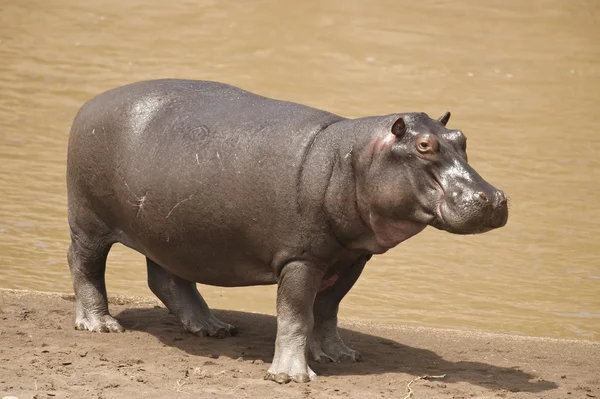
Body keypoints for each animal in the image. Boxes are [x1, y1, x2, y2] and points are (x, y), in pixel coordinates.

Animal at [64, 79, 506, 384]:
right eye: (424, 146)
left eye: (461, 138)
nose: (494, 197)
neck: (353, 158)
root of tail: (91, 102)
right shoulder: (301, 258)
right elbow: (295, 315)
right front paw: (292, 376)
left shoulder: (350, 257)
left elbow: (326, 310)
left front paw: (341, 356)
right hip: (89, 222)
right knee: (84, 265)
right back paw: (101, 325)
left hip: (173, 232)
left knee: (167, 277)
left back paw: (213, 328)